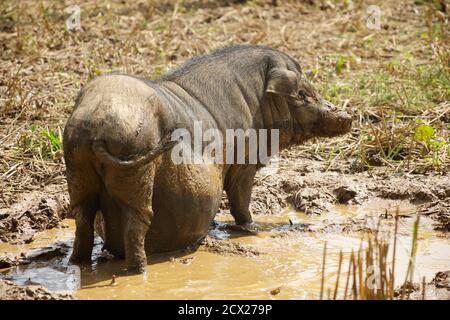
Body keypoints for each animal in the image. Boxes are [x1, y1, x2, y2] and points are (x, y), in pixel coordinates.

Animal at [63, 44, 352, 272]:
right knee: (136, 223)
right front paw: (251, 228)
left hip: (77, 168)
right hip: (135, 167)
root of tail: (97, 124)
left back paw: (79, 264)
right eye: (302, 95)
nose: (347, 116)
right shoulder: (244, 159)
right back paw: (139, 272)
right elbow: (239, 196)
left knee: (83, 219)